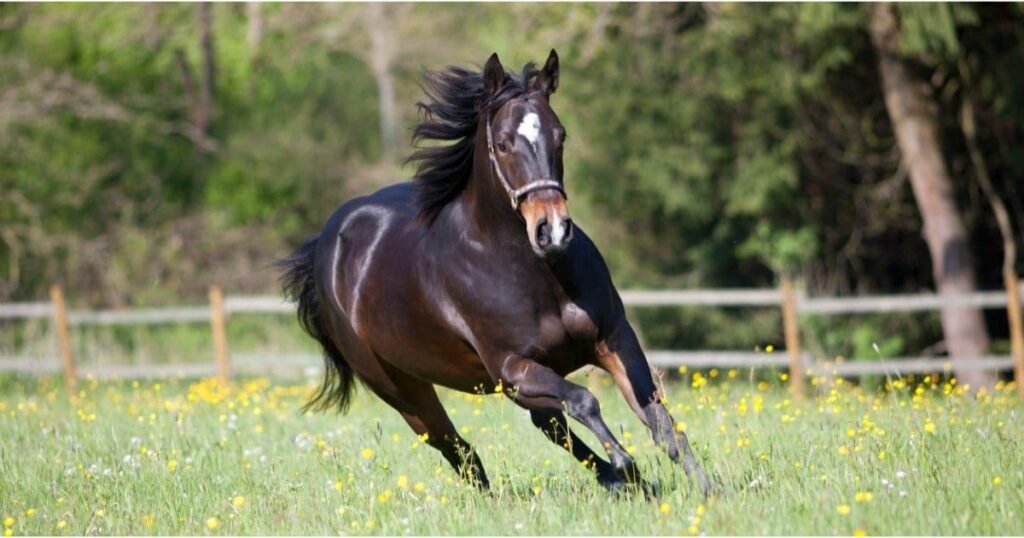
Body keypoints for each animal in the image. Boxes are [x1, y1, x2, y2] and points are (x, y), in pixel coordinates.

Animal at [279, 50, 711, 496]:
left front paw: (707, 491)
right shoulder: (512, 366)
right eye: (503, 144)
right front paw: (626, 462)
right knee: (458, 447)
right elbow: (585, 400)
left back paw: (621, 482)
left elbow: (660, 422)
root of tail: (326, 244)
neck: (535, 275)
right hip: (402, 389)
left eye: (560, 135)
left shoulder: (613, 339)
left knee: (545, 425)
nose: (553, 230)